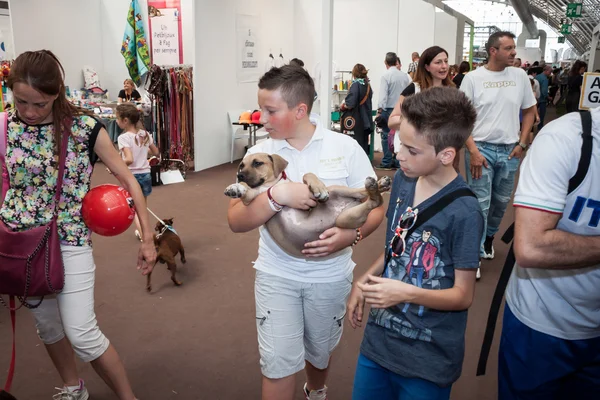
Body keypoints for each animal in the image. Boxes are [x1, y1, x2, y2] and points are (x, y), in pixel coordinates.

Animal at [224, 152, 390, 258]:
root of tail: (350, 203)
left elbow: (307, 174)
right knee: (373, 201)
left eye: (257, 163)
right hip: (346, 218)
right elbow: (246, 189)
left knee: (363, 194)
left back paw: (379, 184)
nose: (239, 176)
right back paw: (377, 186)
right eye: (241, 166)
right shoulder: (251, 199)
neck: (272, 185)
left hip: (337, 191)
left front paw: (317, 187)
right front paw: (235, 188)